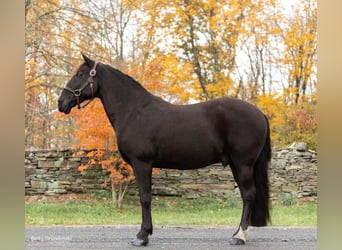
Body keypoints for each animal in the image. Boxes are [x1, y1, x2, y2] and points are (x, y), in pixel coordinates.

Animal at [59, 54, 272, 246]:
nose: (61, 102)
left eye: (80, 74)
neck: (134, 112)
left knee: (248, 195)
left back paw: (240, 237)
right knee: (246, 196)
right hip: (237, 165)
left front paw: (142, 236)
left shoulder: (142, 163)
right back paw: (237, 233)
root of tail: (260, 113)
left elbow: (145, 197)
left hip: (243, 164)